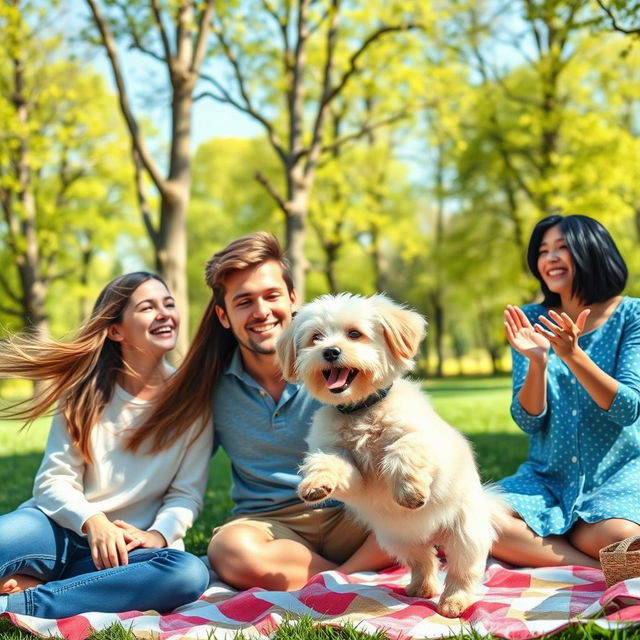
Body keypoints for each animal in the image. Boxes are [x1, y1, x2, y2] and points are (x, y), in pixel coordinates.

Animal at [278, 292, 508, 616]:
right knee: (424, 561)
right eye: (316, 337)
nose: (331, 351)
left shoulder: (422, 441)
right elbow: (330, 462)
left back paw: (454, 601)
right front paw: (316, 483)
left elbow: (402, 449)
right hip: (398, 541)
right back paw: (420, 588)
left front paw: (409, 492)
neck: (360, 410)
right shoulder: (349, 468)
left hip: (466, 534)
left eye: (354, 334)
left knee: (463, 571)